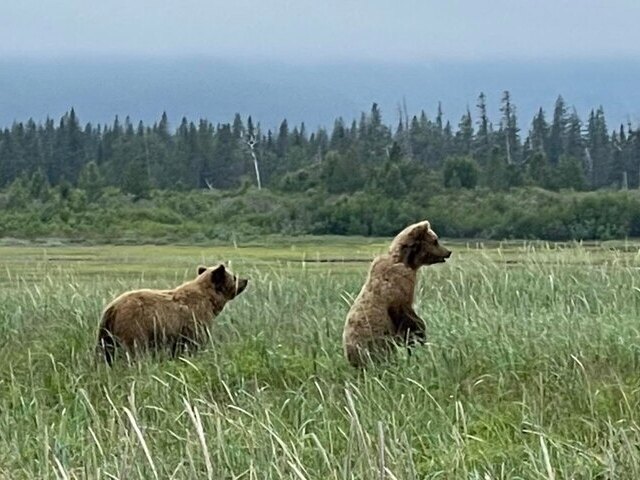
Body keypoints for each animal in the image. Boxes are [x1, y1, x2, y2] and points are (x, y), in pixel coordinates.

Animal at [97, 262, 248, 364]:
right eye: (234, 277)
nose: (245, 280)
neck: (210, 301)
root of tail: (112, 307)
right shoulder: (195, 319)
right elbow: (196, 341)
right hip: (134, 326)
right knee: (135, 350)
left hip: (106, 333)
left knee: (106, 352)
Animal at [342, 221, 452, 368]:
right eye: (435, 240)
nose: (448, 252)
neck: (406, 262)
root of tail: (351, 359)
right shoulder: (398, 288)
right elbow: (407, 317)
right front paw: (419, 335)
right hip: (373, 345)